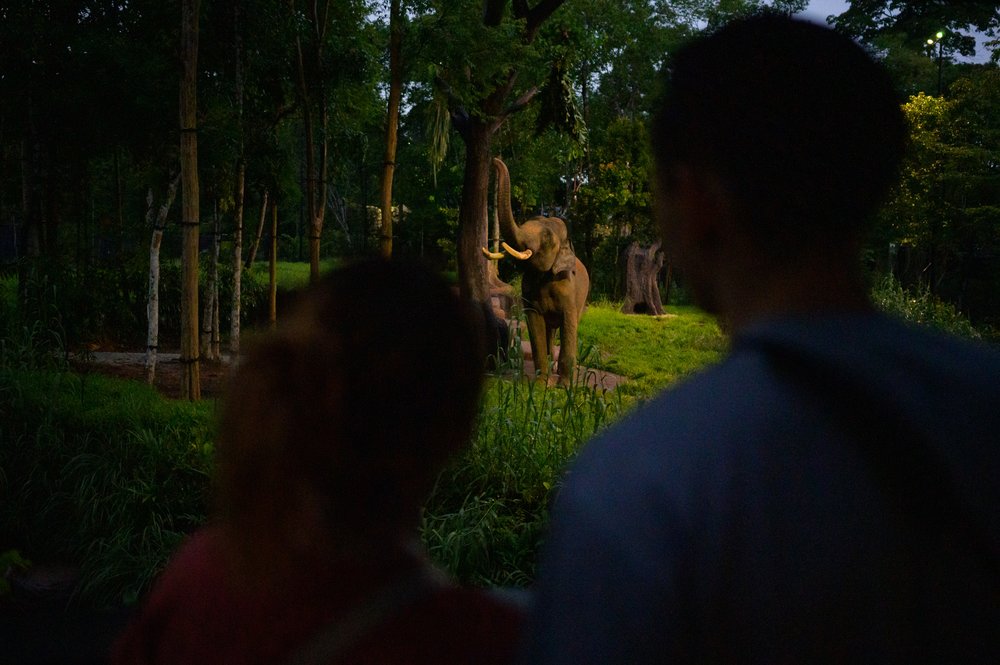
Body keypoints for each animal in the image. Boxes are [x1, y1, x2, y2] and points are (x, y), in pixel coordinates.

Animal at [483, 157, 590, 384]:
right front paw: (541, 385)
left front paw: (564, 386)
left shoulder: (568, 287)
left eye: (547, 238)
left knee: (570, 324)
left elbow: (569, 323)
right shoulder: (529, 290)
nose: (494, 160)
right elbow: (535, 323)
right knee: (550, 330)